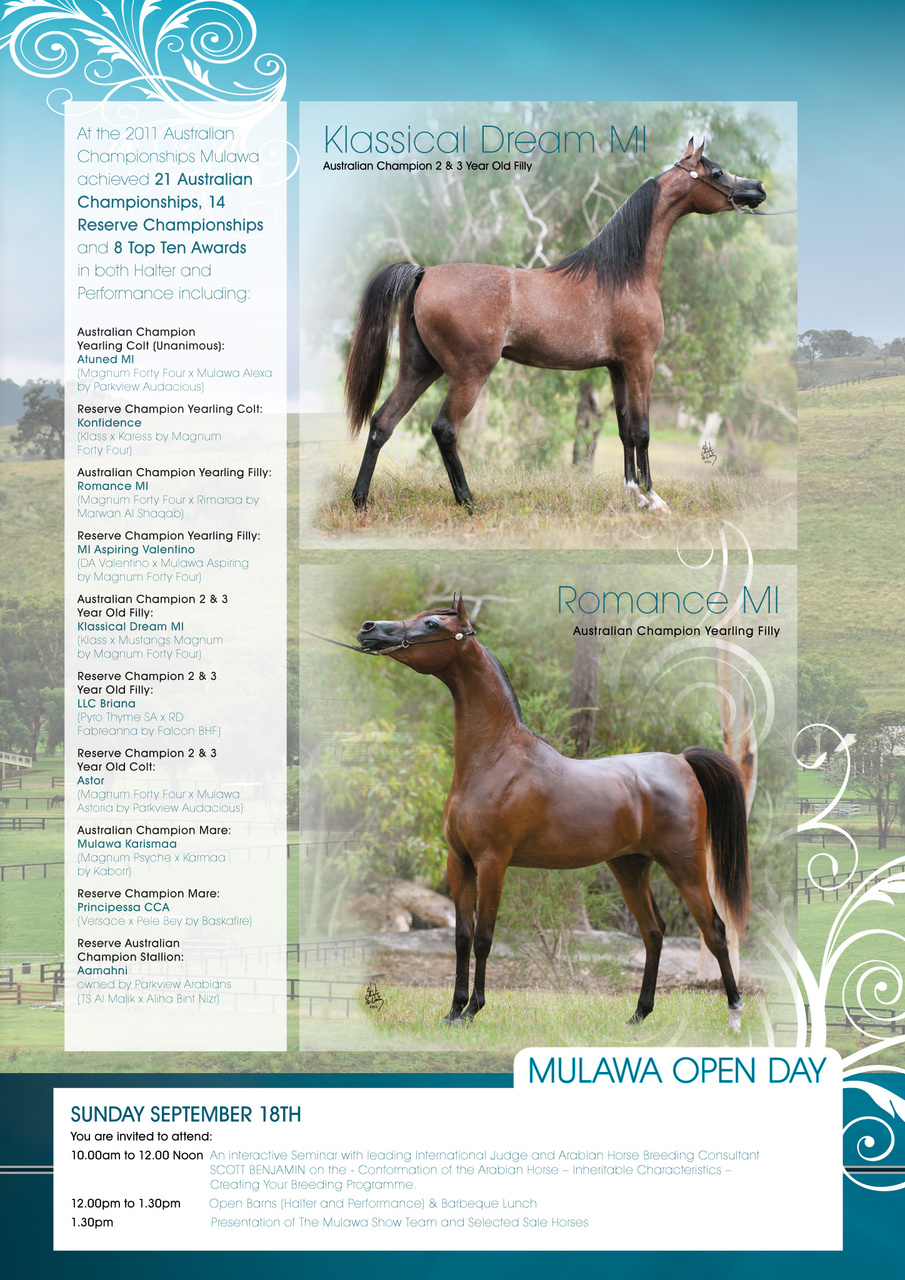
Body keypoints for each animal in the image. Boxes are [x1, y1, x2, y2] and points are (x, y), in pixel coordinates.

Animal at [345, 138, 766, 514]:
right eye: (716, 172)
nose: (757, 188)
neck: (622, 276)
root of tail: (424, 273)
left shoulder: (617, 367)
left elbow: (624, 428)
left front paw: (634, 494)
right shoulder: (640, 363)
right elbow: (643, 430)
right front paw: (654, 499)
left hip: (420, 367)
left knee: (382, 423)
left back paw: (360, 501)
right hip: (469, 373)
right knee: (444, 429)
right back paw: (468, 503)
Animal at [356, 597, 750, 1031]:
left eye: (430, 624)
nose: (368, 629)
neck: (494, 759)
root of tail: (681, 761)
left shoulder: (493, 862)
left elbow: (484, 938)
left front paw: (473, 1010)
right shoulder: (459, 862)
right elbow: (461, 937)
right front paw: (453, 1011)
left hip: (685, 865)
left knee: (715, 930)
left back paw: (734, 1012)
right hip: (630, 866)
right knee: (653, 931)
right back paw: (638, 1015)